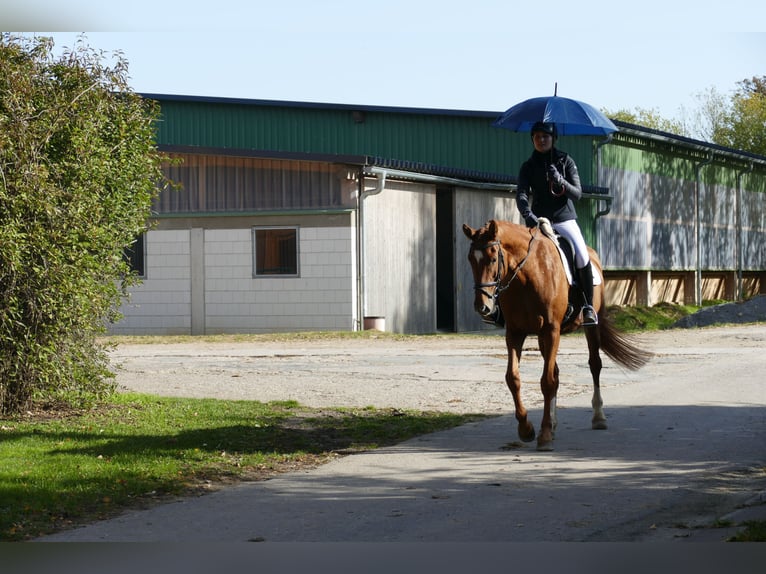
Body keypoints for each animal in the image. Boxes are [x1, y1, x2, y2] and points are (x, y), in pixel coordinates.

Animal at [464, 218, 652, 452]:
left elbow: (547, 381)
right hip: (542, 338)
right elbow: (513, 378)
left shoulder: (551, 330)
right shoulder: (515, 332)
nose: (483, 307)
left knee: (594, 365)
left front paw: (544, 435)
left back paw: (598, 417)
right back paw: (553, 422)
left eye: (491, 258)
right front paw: (527, 429)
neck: (527, 276)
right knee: (556, 371)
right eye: (471, 260)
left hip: (590, 326)